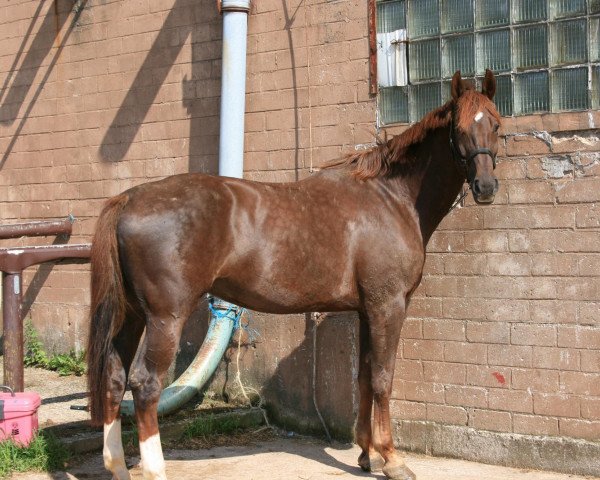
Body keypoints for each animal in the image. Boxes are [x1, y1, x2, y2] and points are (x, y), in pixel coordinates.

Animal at [88, 68, 502, 480]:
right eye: (460, 129)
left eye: (496, 124)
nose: (485, 187)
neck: (389, 198)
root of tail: (129, 198)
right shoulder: (388, 306)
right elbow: (383, 378)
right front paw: (392, 459)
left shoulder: (367, 311)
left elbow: (365, 377)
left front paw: (366, 454)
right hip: (165, 318)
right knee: (145, 384)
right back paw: (154, 468)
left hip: (132, 315)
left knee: (114, 378)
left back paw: (116, 465)